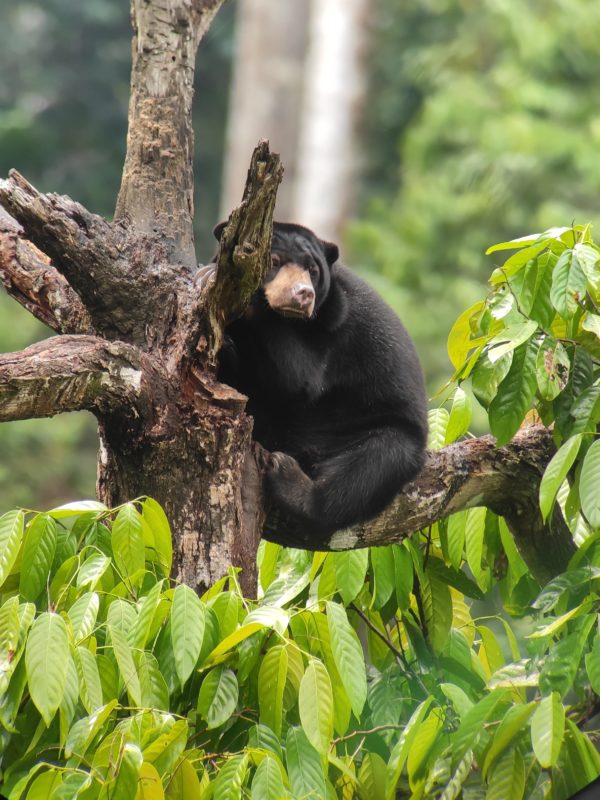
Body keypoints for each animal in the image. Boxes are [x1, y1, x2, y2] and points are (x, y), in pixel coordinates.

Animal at [213, 222, 428, 540]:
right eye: (274, 261)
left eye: (312, 269)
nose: (303, 294)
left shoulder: (334, 324)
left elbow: (301, 377)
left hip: (382, 431)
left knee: (368, 469)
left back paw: (289, 480)